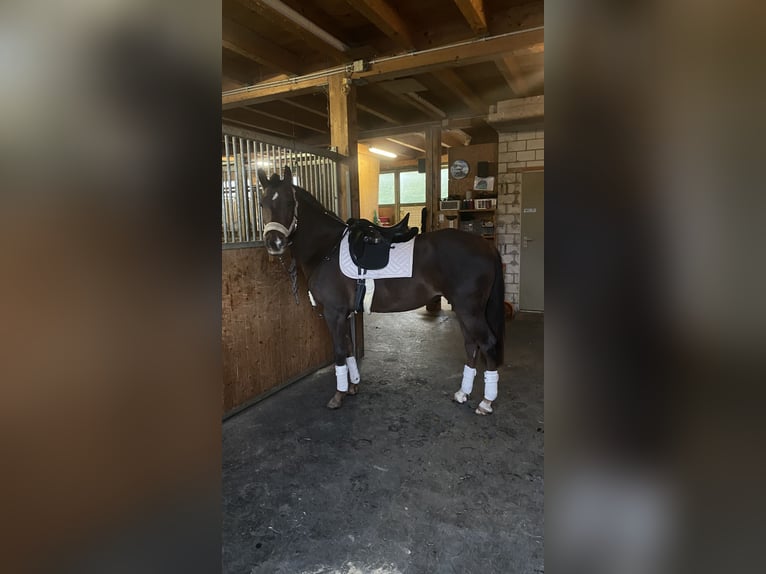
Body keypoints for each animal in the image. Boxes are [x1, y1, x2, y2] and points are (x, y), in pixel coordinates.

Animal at [260, 169, 508, 416]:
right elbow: (348, 348)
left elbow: (339, 351)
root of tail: (485, 245)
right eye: (262, 203)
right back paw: (463, 393)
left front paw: (338, 395)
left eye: (290, 202)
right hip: (463, 309)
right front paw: (353, 386)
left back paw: (486, 402)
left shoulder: (333, 313)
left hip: (470, 310)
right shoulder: (344, 314)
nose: (274, 243)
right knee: (471, 344)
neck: (327, 249)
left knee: (486, 343)